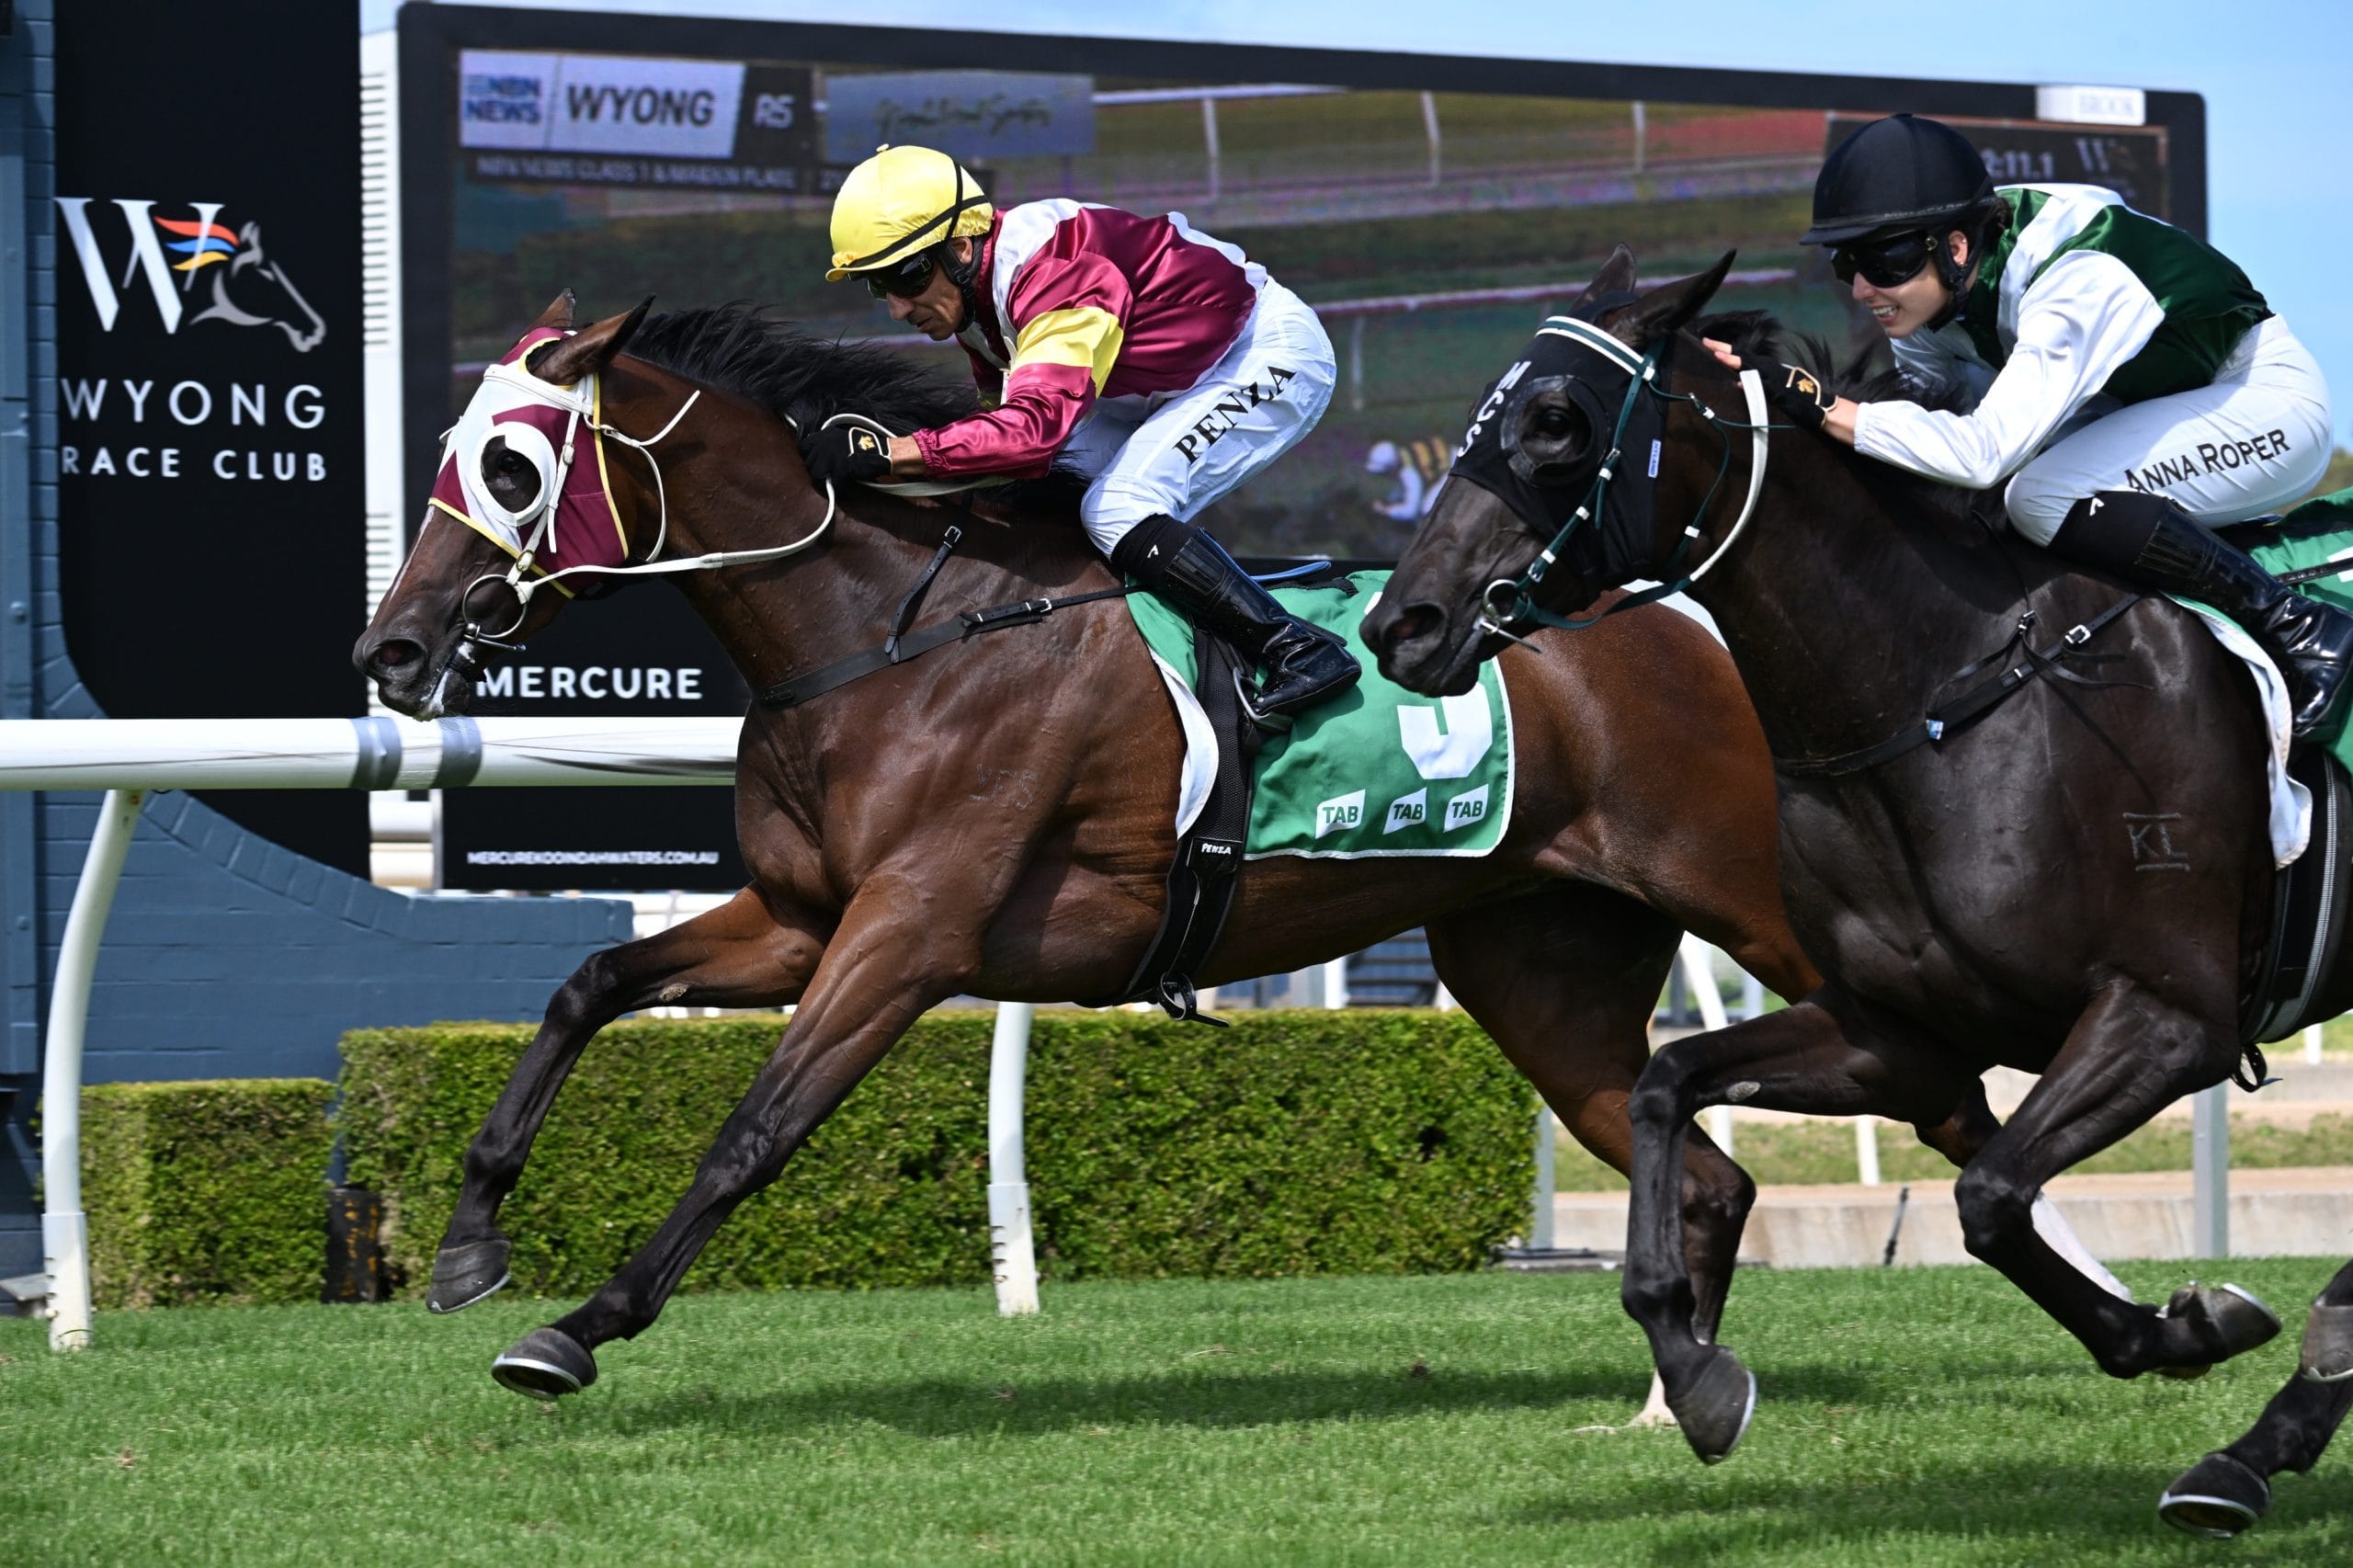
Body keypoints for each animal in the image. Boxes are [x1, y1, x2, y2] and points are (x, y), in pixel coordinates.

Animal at [353, 290, 2023, 1403]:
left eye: (510, 468)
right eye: (449, 452)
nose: (393, 649)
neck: (884, 632)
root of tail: (1697, 618)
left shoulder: (910, 929)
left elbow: (752, 1130)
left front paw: (577, 1326)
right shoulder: (802, 913)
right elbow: (586, 984)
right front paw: (470, 1242)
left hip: (1776, 916)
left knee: (1957, 1090)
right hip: (1537, 965)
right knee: (1725, 1175)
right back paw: (1673, 1395)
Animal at [1364, 250, 2334, 1516]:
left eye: (1556, 421)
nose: (1400, 623)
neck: (1945, 695)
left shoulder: (2171, 1016)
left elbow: (1987, 1196)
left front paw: (2192, 1323)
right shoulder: (1895, 1029)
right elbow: (1667, 1083)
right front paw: (1697, 1372)